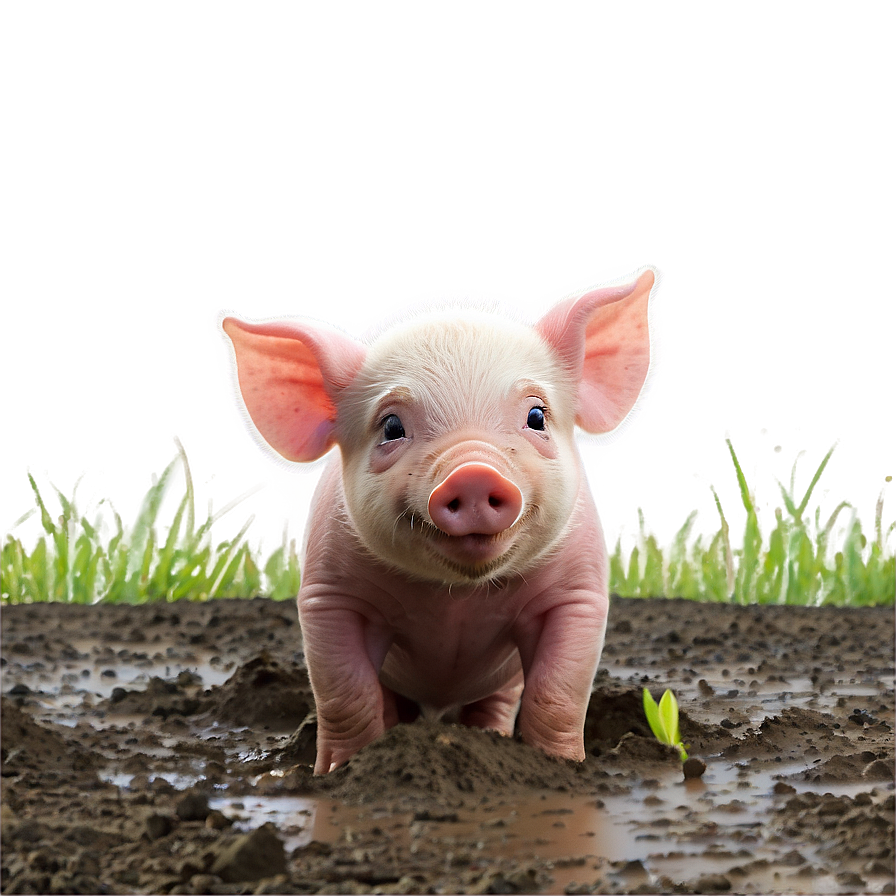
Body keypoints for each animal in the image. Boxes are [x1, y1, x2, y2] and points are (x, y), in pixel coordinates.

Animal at [217, 265, 662, 773]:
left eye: (536, 415)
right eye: (391, 426)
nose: (473, 473)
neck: (456, 598)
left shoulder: (579, 594)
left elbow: (557, 695)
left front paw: (564, 768)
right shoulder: (327, 594)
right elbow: (346, 695)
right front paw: (339, 773)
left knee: (499, 700)